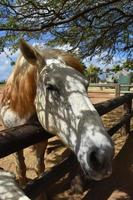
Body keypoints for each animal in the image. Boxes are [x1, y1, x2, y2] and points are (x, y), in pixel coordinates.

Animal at [0, 39, 114, 185]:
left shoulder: (42, 139)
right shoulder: (14, 141)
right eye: (50, 86)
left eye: (86, 85)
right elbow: (21, 170)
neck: (18, 107)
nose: (103, 156)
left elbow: (40, 168)